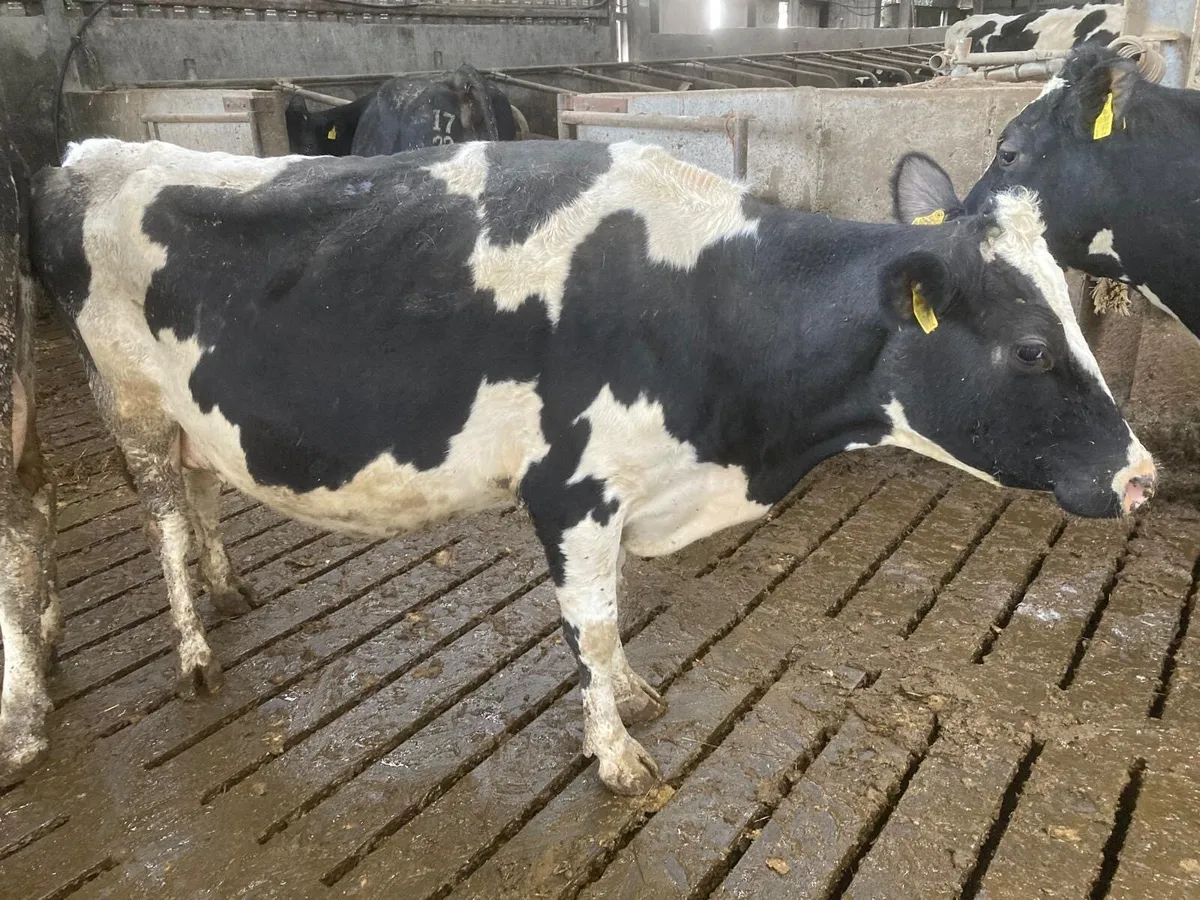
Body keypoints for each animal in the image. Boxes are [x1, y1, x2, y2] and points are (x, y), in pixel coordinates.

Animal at [28, 137, 1156, 794]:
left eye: (1077, 322)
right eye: (1031, 350)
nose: (1143, 475)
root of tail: (85, 151)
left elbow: (613, 615)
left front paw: (634, 694)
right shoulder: (569, 489)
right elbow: (593, 618)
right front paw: (613, 751)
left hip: (193, 410)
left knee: (204, 489)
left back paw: (228, 589)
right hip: (127, 402)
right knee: (163, 515)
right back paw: (193, 648)